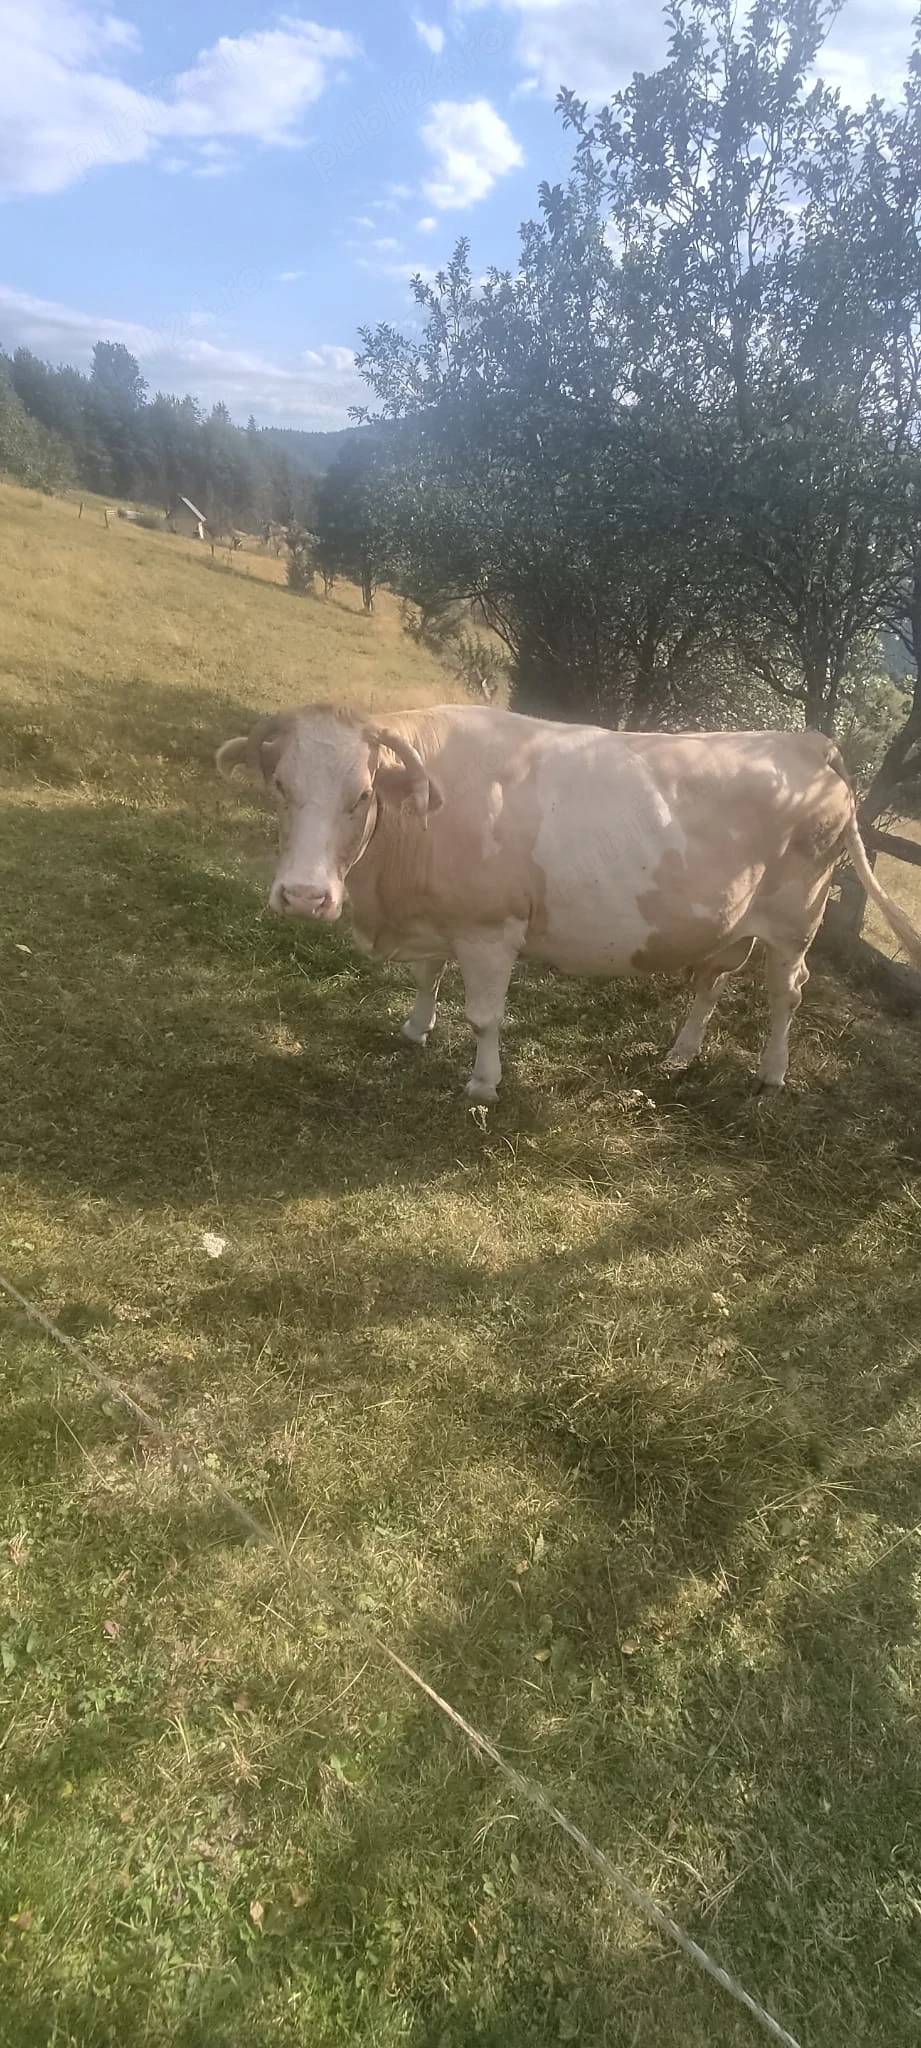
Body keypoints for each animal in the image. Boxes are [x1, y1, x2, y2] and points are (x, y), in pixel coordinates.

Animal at [216, 702, 921, 1102]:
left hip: (798, 919)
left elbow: (484, 1017)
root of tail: (807, 743)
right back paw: (682, 1053)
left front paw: (483, 1084)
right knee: (714, 981)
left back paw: (772, 1074)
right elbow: (426, 975)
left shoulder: (489, 929)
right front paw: (417, 1028)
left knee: (786, 994)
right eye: (279, 787)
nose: (304, 896)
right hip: (730, 923)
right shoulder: (441, 915)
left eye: (361, 795)